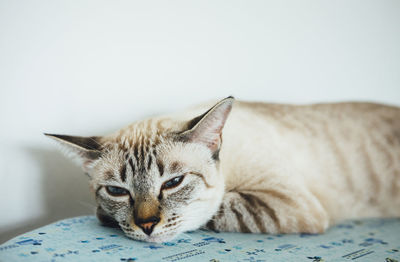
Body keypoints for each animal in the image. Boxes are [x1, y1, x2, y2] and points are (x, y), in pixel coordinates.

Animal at [46, 97, 400, 243]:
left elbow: (216, 208)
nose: (145, 226)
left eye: (173, 183)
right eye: (117, 191)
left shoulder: (289, 203)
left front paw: (104, 216)